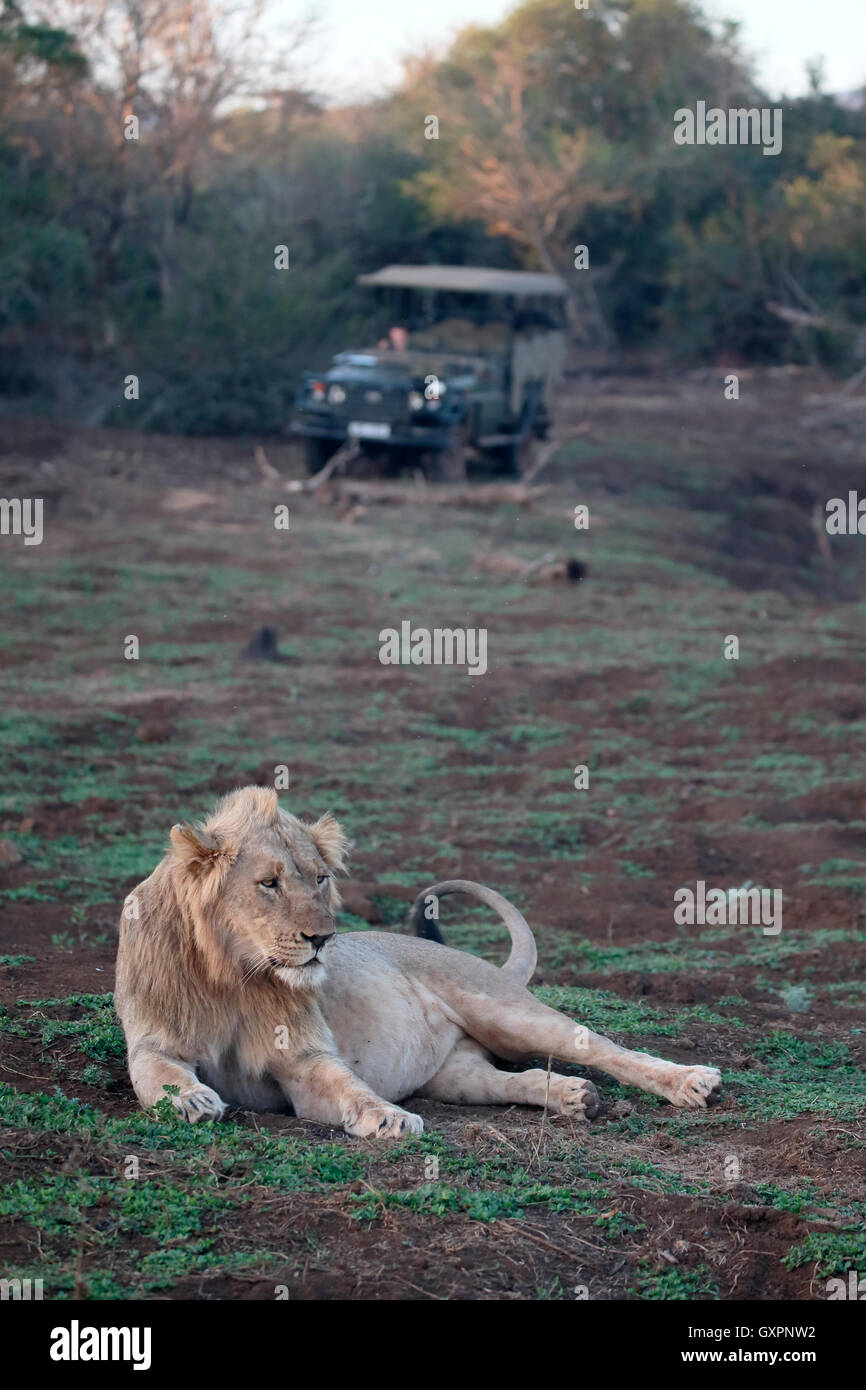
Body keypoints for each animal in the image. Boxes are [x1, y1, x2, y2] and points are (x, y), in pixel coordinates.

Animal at [115, 786, 722, 1136]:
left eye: (320, 878)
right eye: (268, 883)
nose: (323, 939)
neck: (232, 974)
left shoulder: (305, 1059)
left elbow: (348, 1087)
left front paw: (388, 1116)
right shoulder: (152, 1039)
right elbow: (156, 1074)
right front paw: (192, 1098)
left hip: (505, 1012)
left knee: (606, 1048)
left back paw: (693, 1082)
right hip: (457, 1073)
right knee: (507, 1078)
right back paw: (576, 1098)